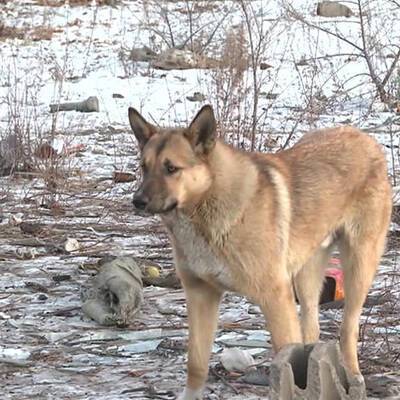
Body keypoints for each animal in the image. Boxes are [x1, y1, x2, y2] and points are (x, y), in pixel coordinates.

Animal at [130, 104, 392, 398]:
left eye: (171, 168)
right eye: (144, 167)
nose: (137, 201)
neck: (209, 204)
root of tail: (365, 139)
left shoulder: (275, 298)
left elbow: (291, 361)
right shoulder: (200, 294)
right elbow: (196, 362)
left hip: (358, 268)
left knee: (347, 330)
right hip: (306, 278)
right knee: (311, 329)